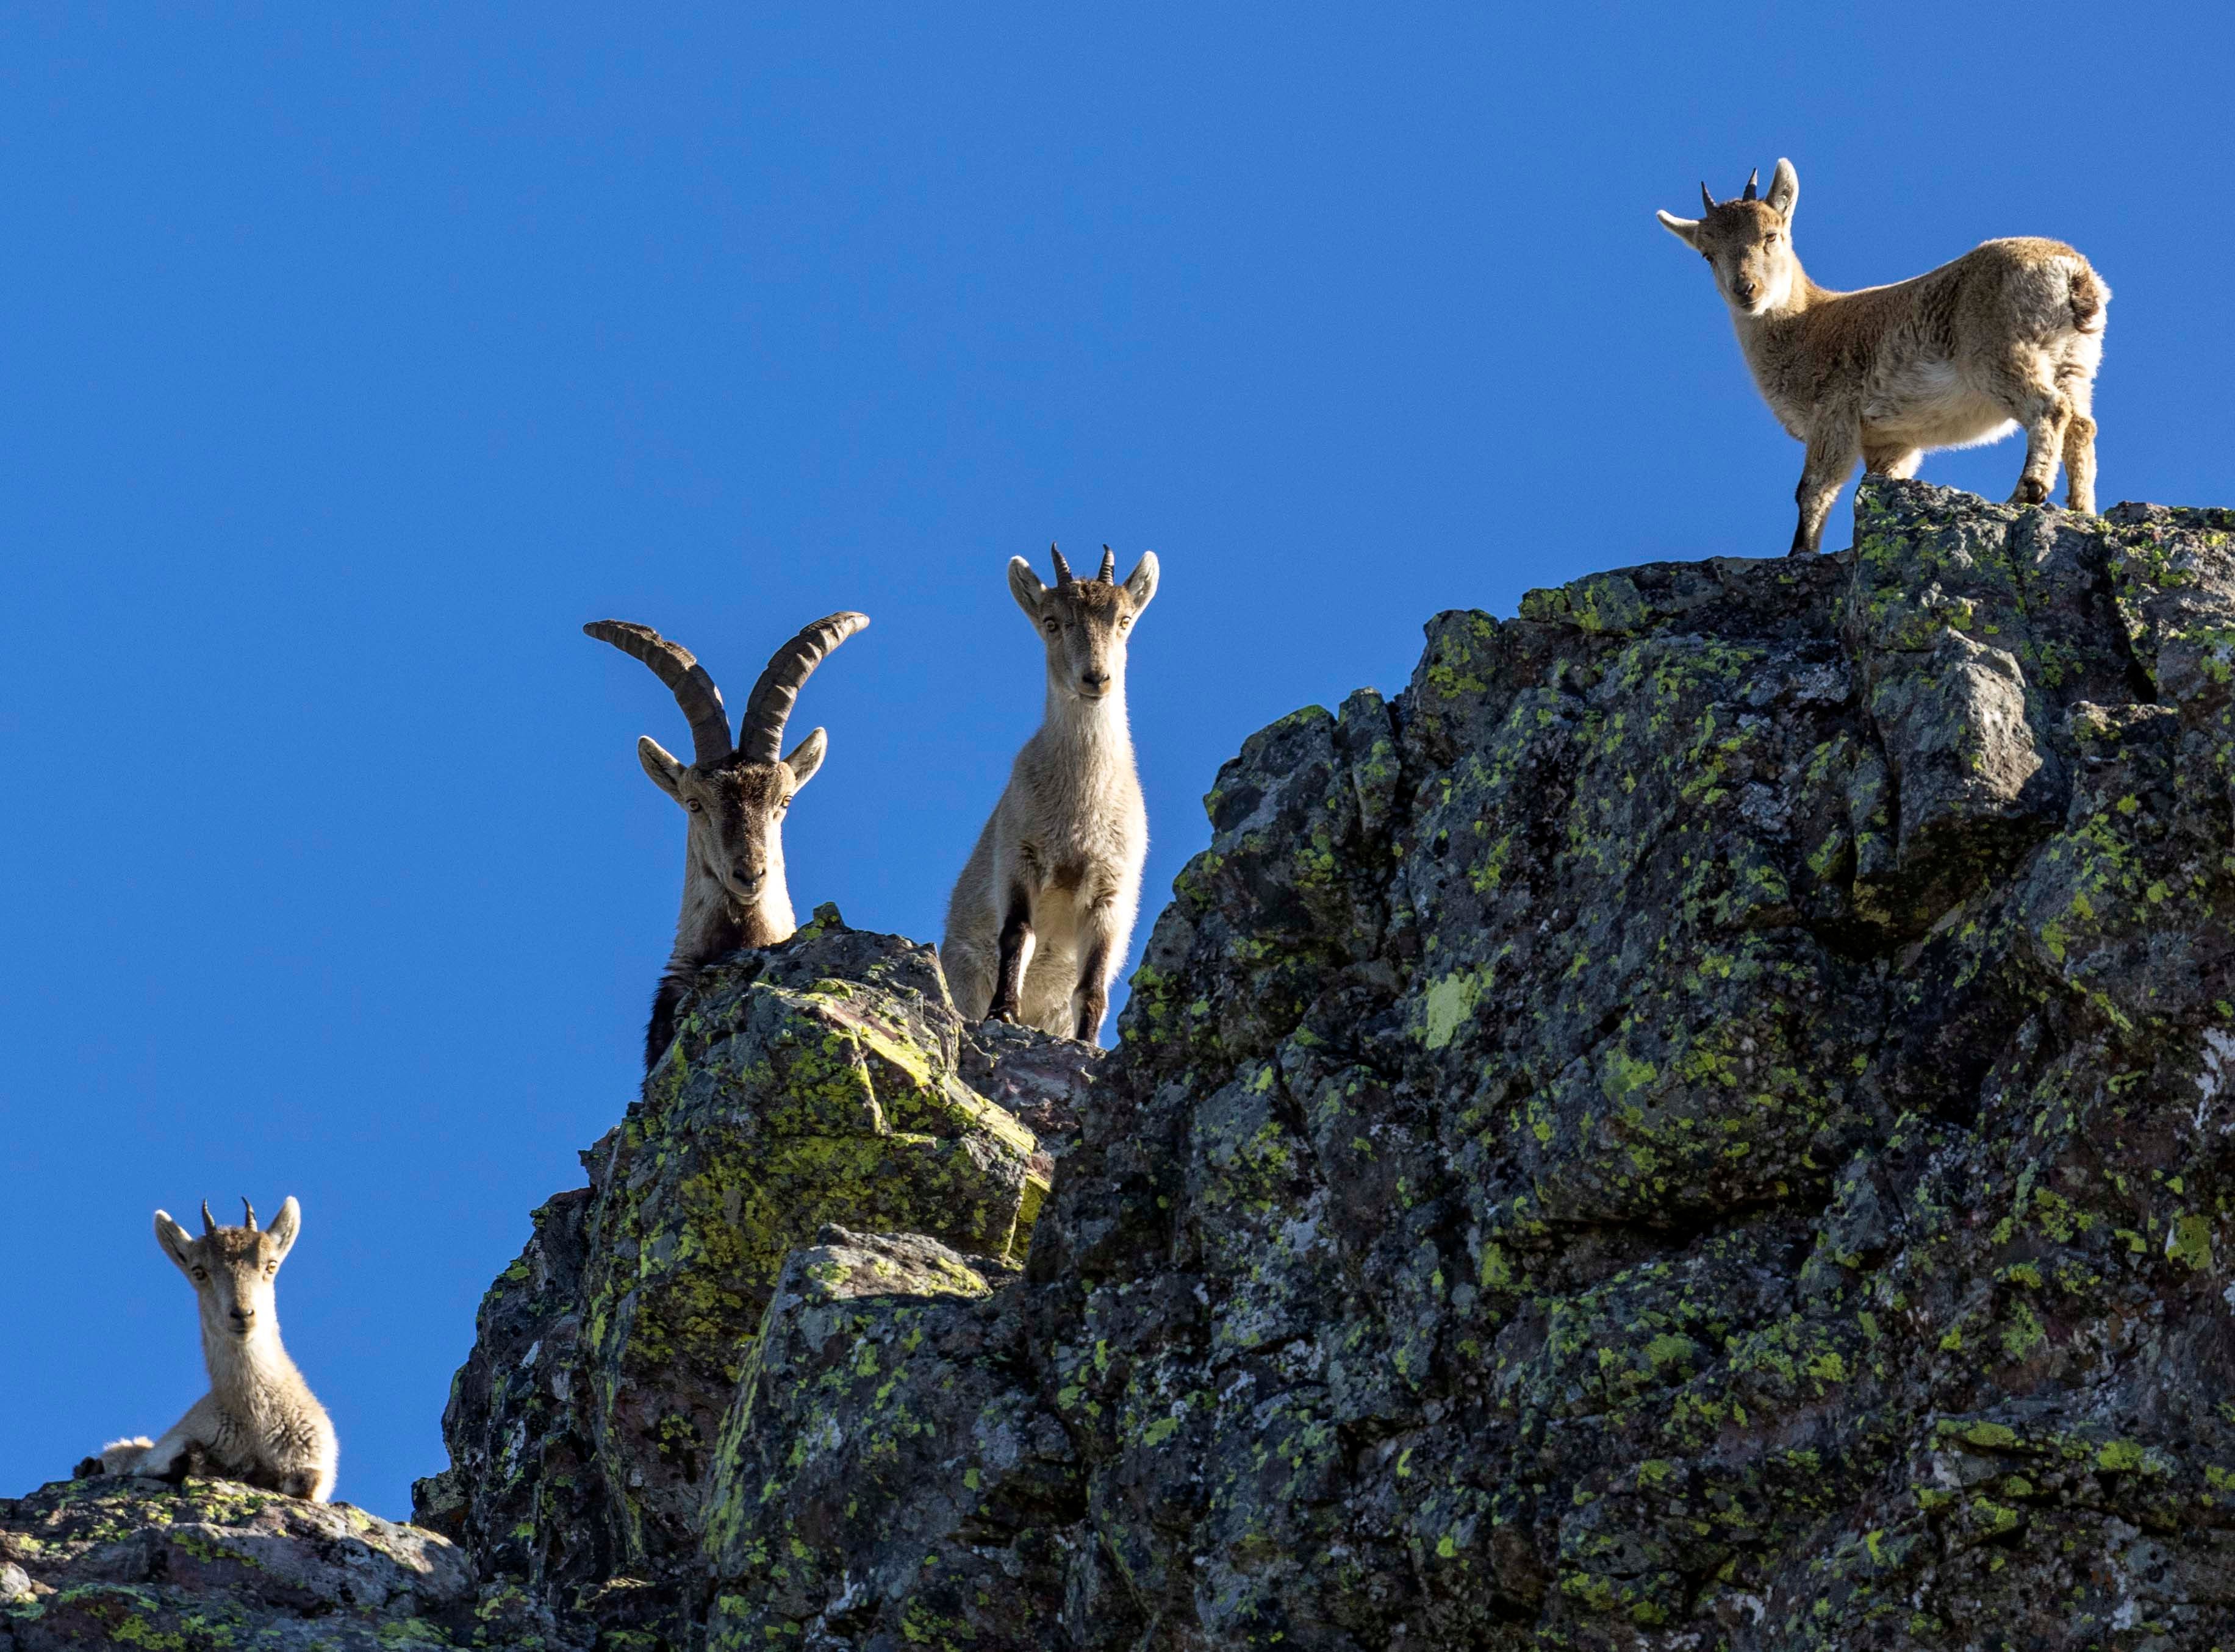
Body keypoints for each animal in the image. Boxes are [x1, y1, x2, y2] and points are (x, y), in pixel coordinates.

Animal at [86, 1198, 338, 1502]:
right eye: (199, 1271)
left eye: (271, 1265)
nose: (242, 1314)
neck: (255, 1424)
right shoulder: (167, 1449)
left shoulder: (313, 1466)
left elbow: (303, 1481)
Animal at [942, 545, 1157, 1043]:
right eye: (1052, 621)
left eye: (1124, 619)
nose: (1096, 678)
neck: (1079, 810)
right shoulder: (1020, 858)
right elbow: (1018, 934)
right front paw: (1003, 1012)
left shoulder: (1110, 890)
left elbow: (1093, 980)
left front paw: (1087, 1042)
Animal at [1657, 158, 2109, 554]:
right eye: (1708, 254)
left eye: (1771, 235)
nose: (1745, 290)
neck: (1805, 322)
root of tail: (2074, 272)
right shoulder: (1891, 441)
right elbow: (1874, 484)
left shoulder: (1834, 411)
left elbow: (1814, 488)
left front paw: (1800, 553)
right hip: (2075, 361)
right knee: (2082, 423)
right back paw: (2082, 510)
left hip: (2001, 350)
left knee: (2050, 408)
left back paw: (2028, 491)